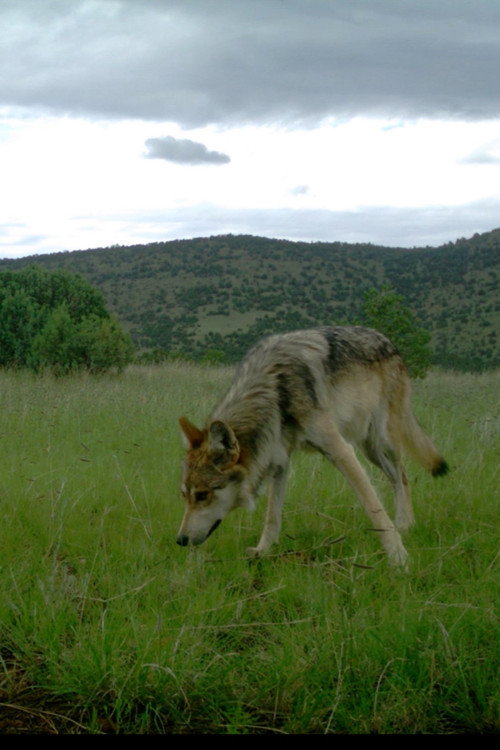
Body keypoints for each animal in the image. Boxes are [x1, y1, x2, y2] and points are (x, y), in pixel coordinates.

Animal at [177, 326, 448, 566]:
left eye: (202, 495)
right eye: (184, 495)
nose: (180, 540)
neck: (273, 390)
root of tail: (387, 340)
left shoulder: (340, 451)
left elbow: (374, 509)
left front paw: (399, 558)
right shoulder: (280, 461)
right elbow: (272, 517)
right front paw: (262, 552)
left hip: (383, 437)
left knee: (403, 475)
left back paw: (405, 524)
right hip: (369, 447)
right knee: (396, 476)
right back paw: (405, 524)